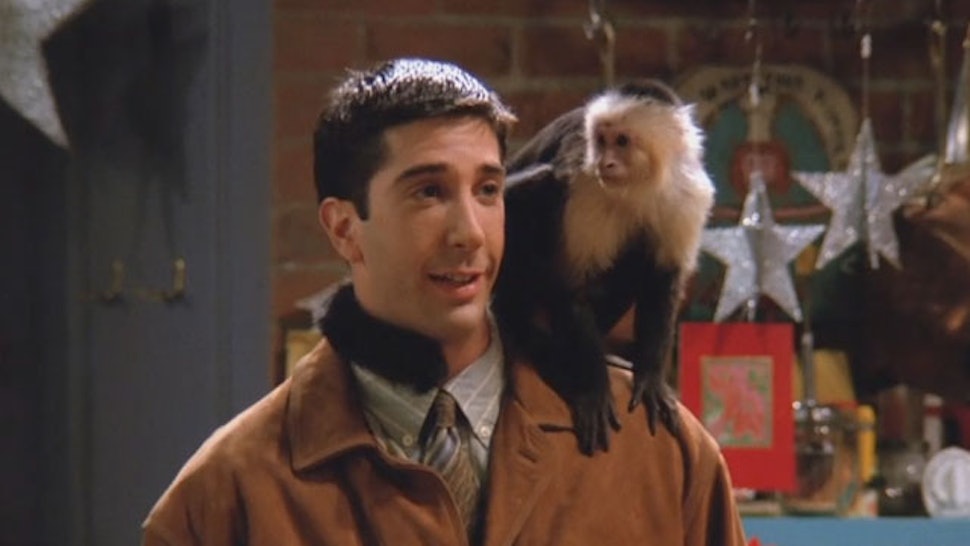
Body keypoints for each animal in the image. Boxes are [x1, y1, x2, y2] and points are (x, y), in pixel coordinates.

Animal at [492, 80, 714, 455]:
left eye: (621, 141)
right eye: (600, 140)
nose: (606, 162)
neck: (640, 185)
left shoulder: (686, 193)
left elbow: (664, 280)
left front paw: (651, 378)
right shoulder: (583, 183)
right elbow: (572, 288)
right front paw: (593, 389)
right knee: (537, 187)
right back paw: (527, 333)